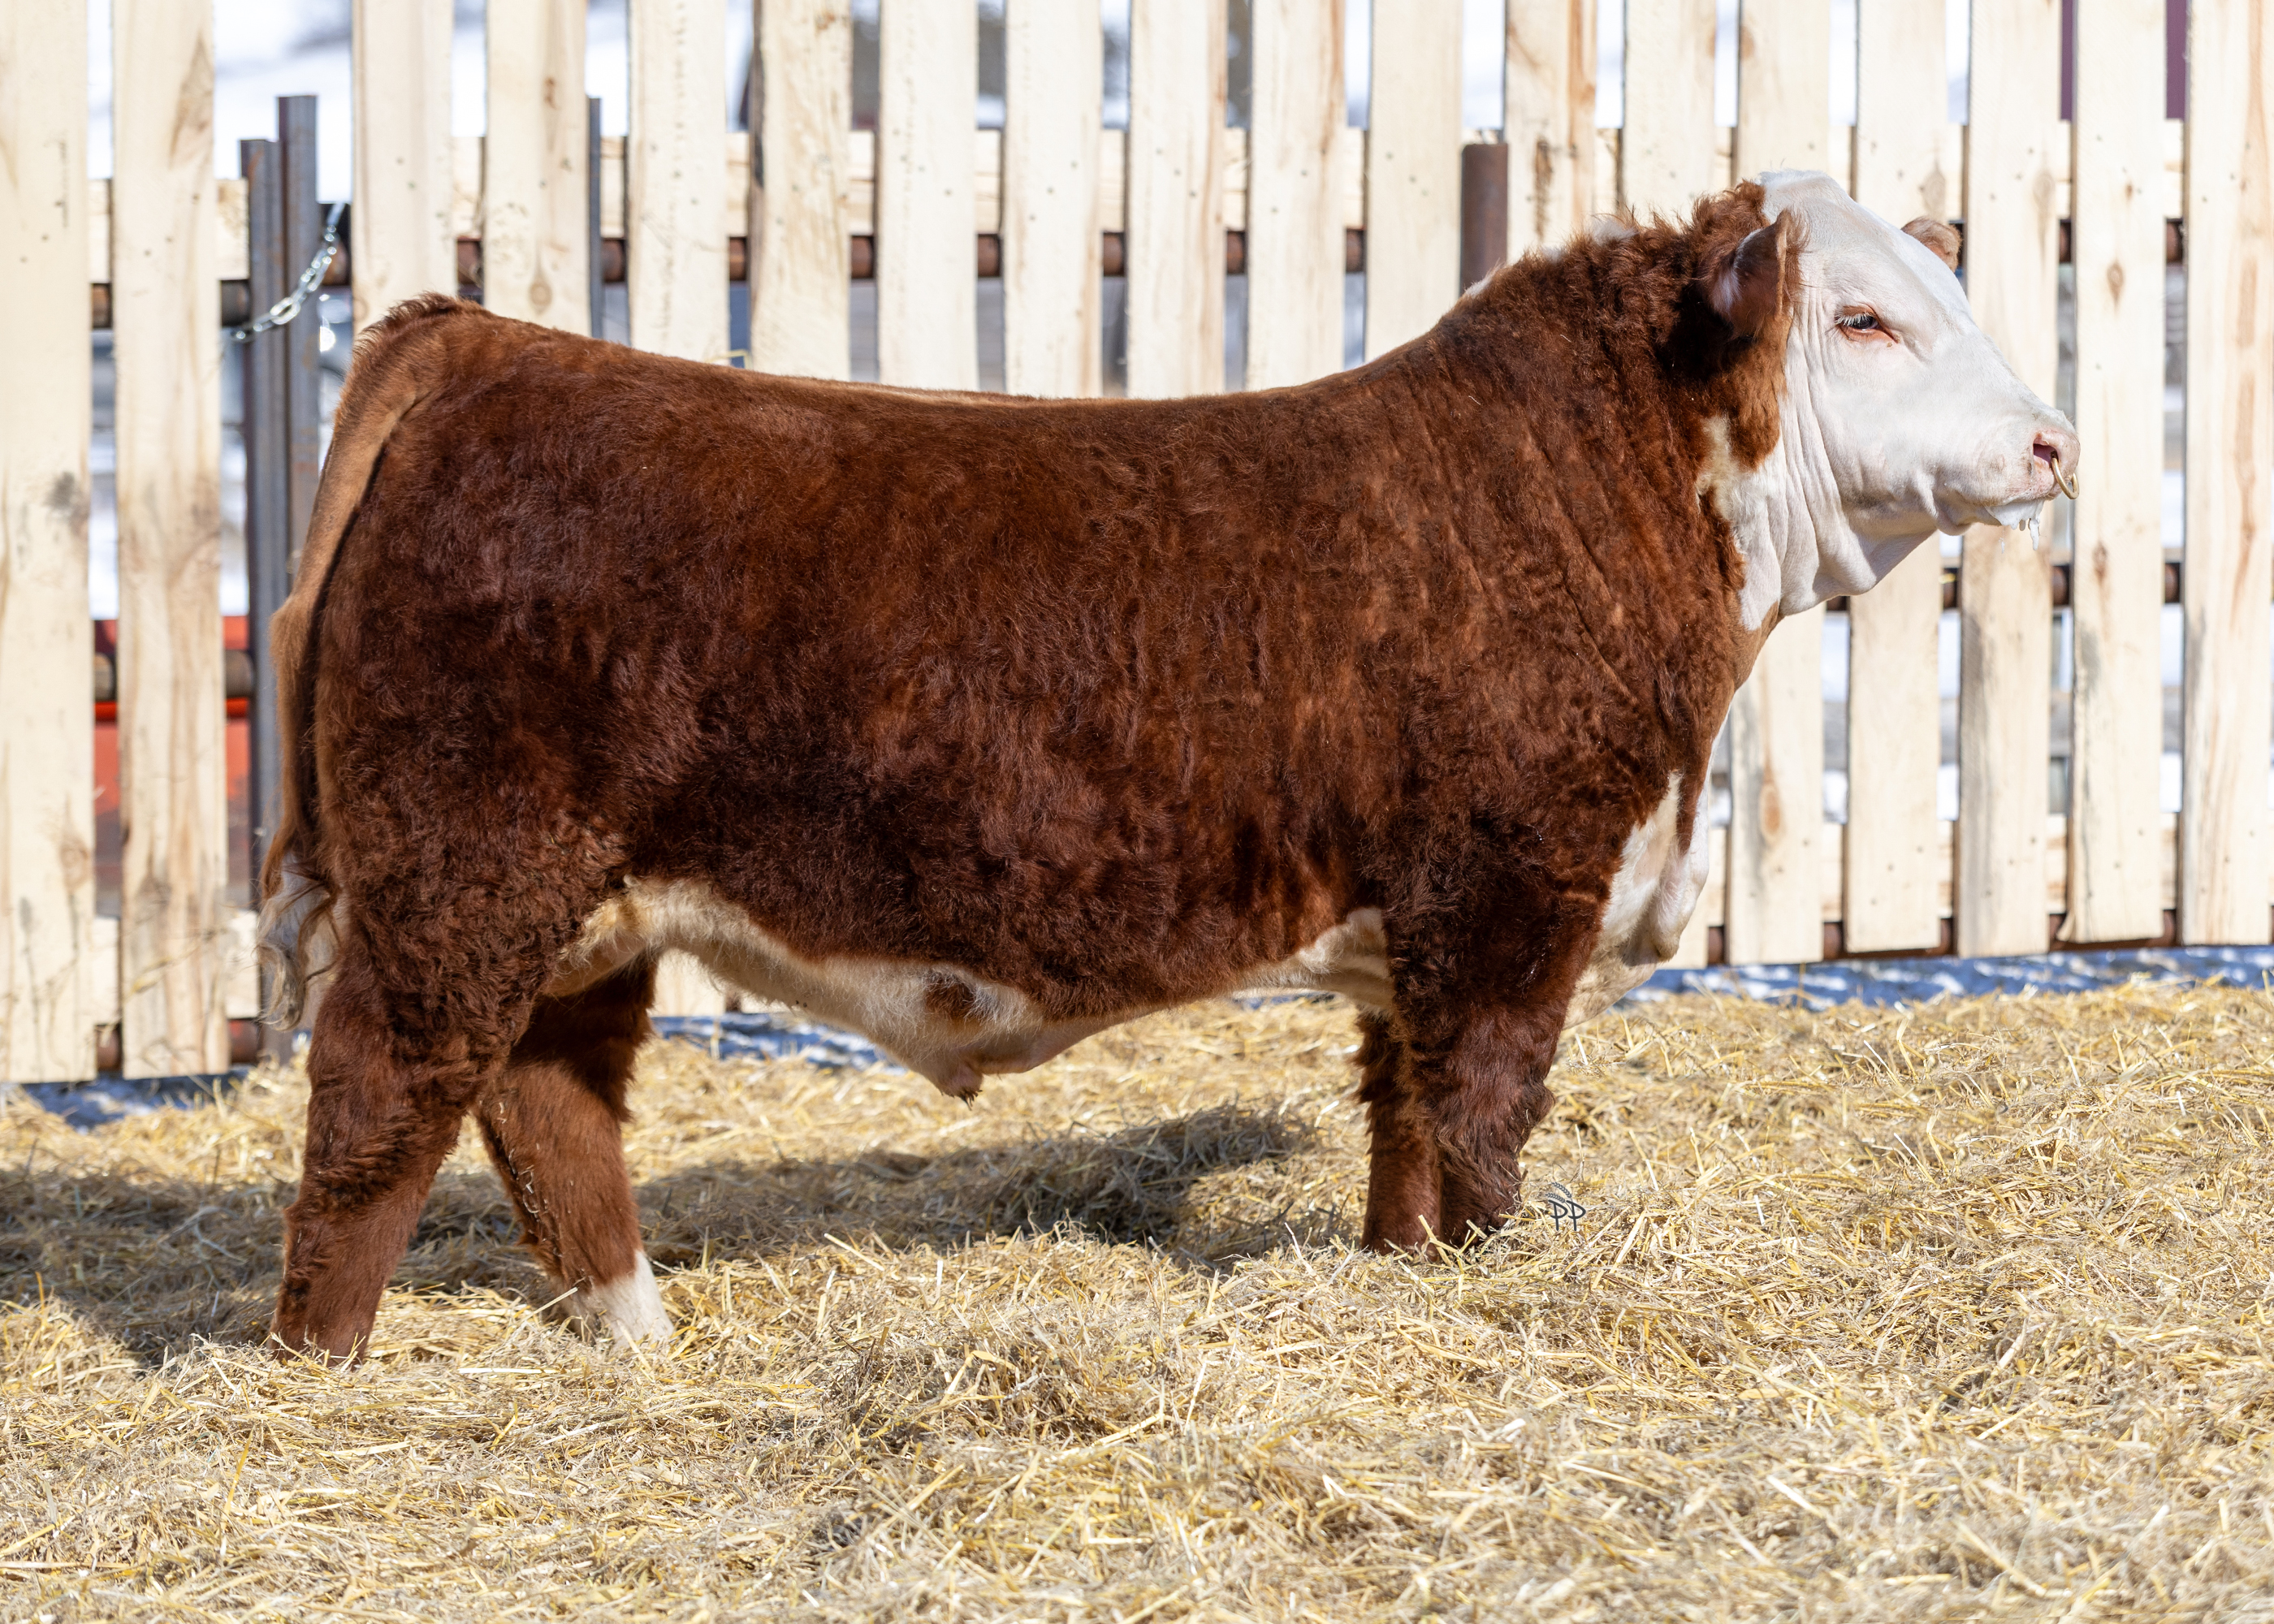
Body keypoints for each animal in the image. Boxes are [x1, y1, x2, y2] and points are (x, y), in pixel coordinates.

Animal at [258, 172, 2076, 1359]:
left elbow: (1406, 1120)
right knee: (379, 1104)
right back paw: (322, 1369)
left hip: (579, 904)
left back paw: (633, 1333)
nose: (2054, 438)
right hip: (461, 873)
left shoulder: (1422, 919)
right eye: (1863, 319)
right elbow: (1486, 1116)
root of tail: (482, 345)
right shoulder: (1511, 887)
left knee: (549, 1098)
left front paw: (1403, 1279)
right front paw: (1493, 1284)